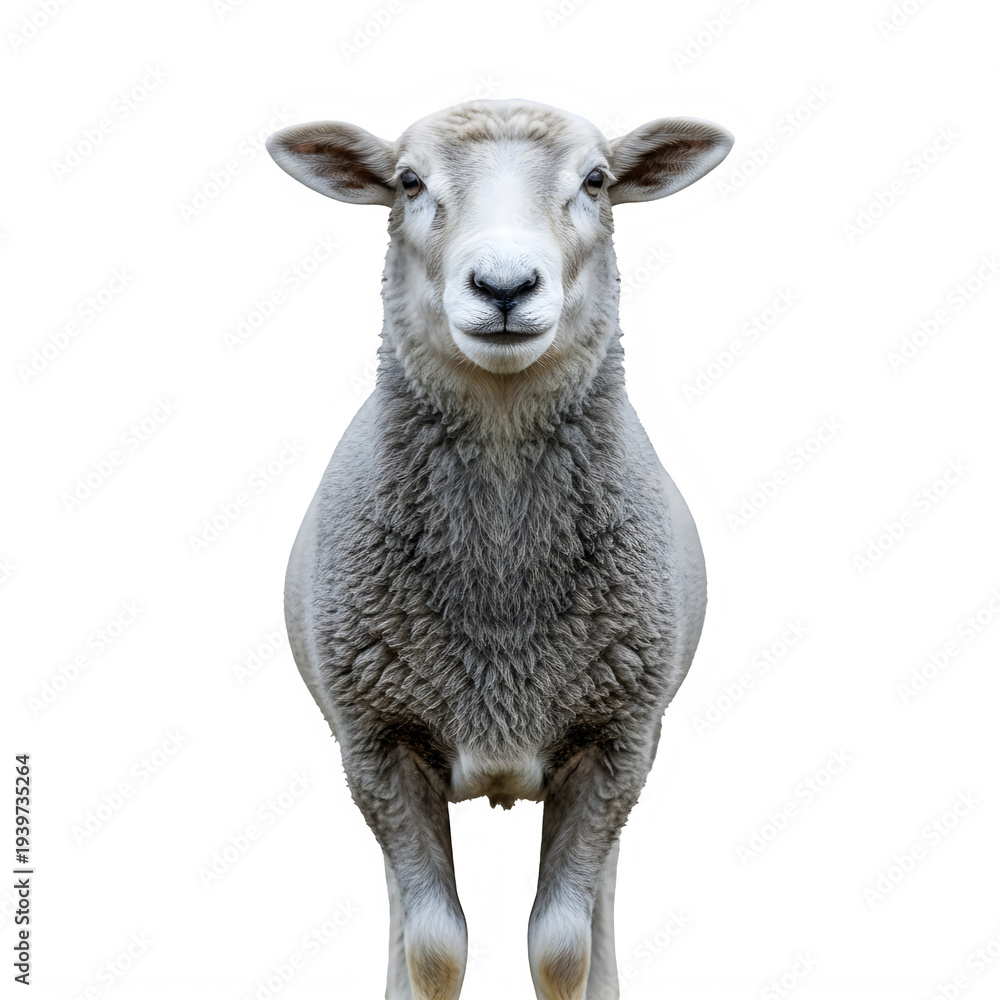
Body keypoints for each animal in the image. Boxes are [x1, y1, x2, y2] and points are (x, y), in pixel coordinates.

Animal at [267, 99, 732, 1000]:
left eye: (597, 180)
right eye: (409, 182)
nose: (506, 287)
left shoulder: (614, 744)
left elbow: (562, 946)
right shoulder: (378, 745)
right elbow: (433, 946)